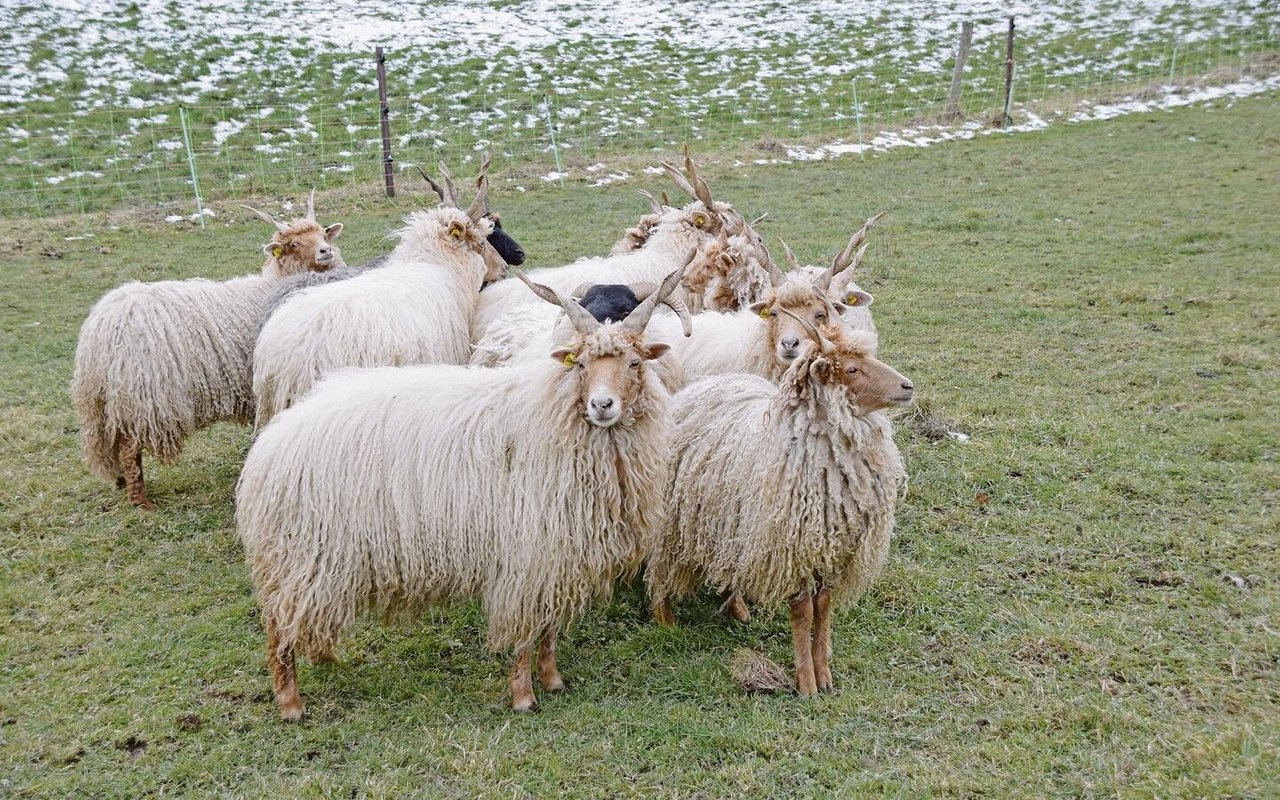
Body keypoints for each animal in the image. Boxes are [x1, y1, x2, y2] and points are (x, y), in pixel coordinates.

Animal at [232, 258, 691, 721]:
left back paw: (323, 658)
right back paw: (290, 702)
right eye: (579, 365)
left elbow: (549, 628)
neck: (553, 415)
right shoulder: (527, 556)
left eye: (634, 364)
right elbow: (526, 632)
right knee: (278, 627)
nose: (602, 405)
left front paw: (553, 680)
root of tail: (273, 441)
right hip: (302, 554)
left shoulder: (555, 556)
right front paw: (523, 695)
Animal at [645, 312, 916, 691]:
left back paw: (738, 609)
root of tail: (694, 390)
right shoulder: (792, 549)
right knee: (661, 567)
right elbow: (803, 614)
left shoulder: (832, 548)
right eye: (851, 369)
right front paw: (806, 682)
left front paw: (824, 675)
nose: (907, 387)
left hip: (729, 521)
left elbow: (824, 608)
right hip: (674, 519)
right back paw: (664, 619)